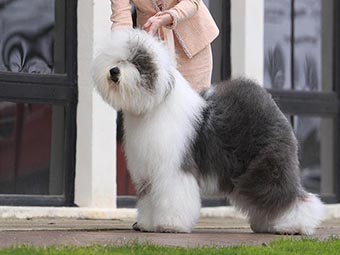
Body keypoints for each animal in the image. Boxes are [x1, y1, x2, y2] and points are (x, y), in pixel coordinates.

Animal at [91, 28, 326, 234]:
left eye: (136, 61)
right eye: (115, 58)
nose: (114, 71)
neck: (154, 106)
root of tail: (268, 100)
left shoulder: (173, 169)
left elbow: (173, 196)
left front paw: (170, 225)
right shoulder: (148, 171)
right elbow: (149, 200)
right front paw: (147, 224)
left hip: (268, 164)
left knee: (287, 195)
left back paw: (295, 225)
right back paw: (266, 224)